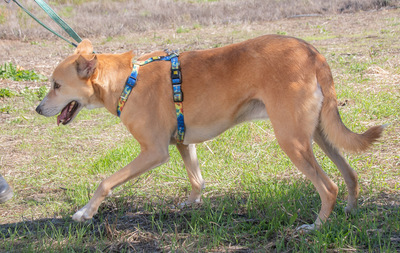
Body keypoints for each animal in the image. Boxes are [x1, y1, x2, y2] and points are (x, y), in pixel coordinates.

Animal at [35, 35, 384, 231]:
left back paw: (316, 227)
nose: (38, 109)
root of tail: (313, 53)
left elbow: (105, 182)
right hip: (318, 134)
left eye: (56, 85)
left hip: (292, 140)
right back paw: (350, 211)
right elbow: (197, 179)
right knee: (350, 174)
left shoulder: (153, 151)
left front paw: (85, 212)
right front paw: (192, 204)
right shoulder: (182, 143)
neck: (125, 82)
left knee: (329, 187)